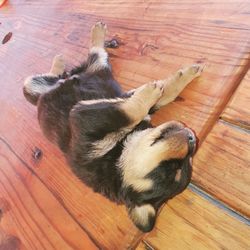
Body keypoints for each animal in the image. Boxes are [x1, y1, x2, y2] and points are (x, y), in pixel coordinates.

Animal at [23, 22, 202, 232]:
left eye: (181, 165)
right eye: (174, 167)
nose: (192, 139)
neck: (121, 151)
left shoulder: (86, 116)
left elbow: (143, 105)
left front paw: (165, 85)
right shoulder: (106, 108)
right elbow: (153, 100)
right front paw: (176, 80)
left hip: (89, 71)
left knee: (96, 55)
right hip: (41, 84)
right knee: (68, 68)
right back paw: (67, 57)